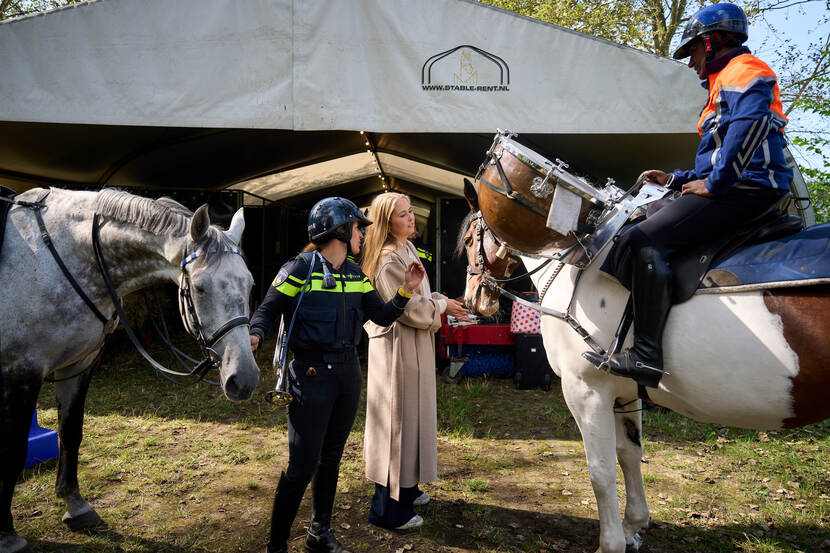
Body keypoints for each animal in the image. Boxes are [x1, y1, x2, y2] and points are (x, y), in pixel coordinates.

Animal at [0, 189, 260, 552]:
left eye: (250, 285)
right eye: (200, 288)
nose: (244, 379)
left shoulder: (77, 366)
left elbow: (71, 433)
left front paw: (75, 505)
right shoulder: (22, 373)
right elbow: (12, 452)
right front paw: (7, 535)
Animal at [462, 179, 830, 548]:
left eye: (467, 240)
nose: (473, 299)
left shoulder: (586, 390)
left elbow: (601, 470)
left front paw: (610, 543)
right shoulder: (624, 392)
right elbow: (629, 455)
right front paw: (633, 527)